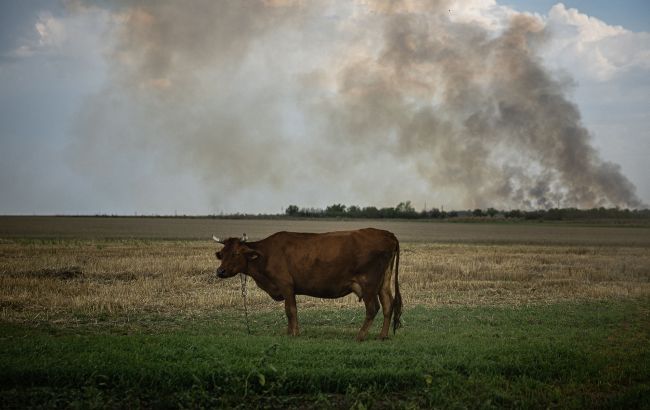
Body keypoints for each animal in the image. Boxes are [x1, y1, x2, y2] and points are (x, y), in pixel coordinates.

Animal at [211, 229, 400, 342]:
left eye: (236, 253)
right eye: (222, 254)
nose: (220, 271)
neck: (266, 255)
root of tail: (386, 233)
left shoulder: (286, 285)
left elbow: (290, 310)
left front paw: (294, 333)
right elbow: (288, 311)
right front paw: (288, 332)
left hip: (368, 284)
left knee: (373, 308)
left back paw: (360, 336)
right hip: (383, 282)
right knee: (388, 305)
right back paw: (383, 336)